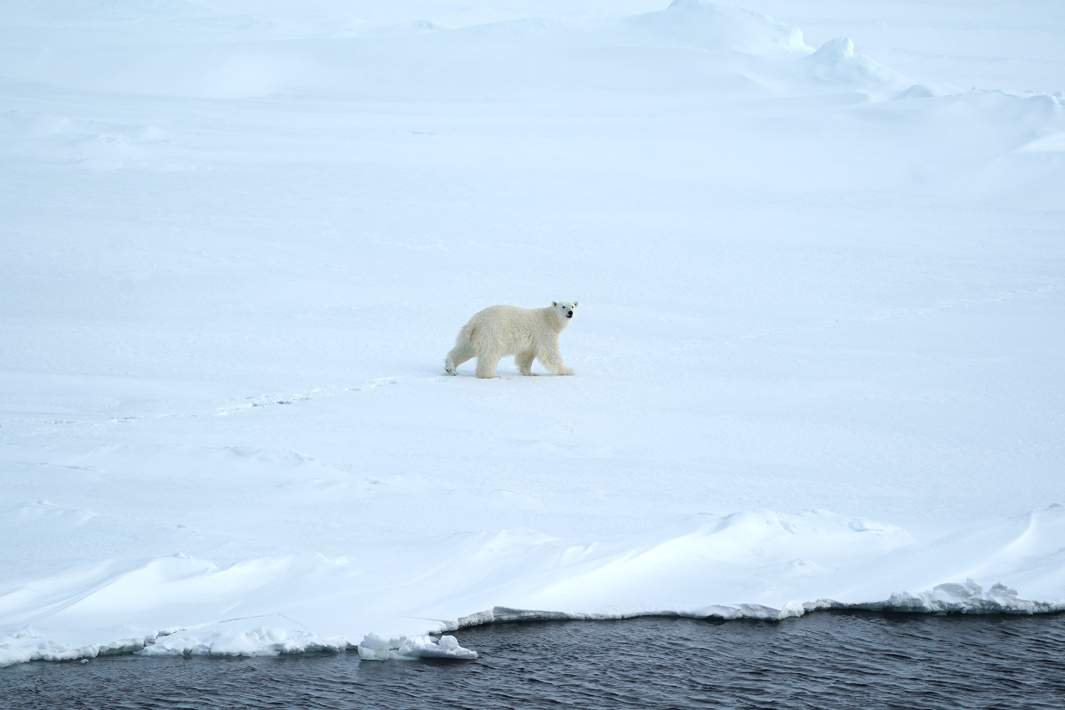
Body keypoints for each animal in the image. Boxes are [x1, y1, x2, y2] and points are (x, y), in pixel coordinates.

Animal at [445, 300, 579, 376]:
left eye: (573, 306)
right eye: (563, 306)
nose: (570, 312)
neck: (550, 319)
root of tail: (475, 321)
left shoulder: (532, 340)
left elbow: (526, 356)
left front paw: (530, 373)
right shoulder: (544, 332)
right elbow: (550, 353)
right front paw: (568, 370)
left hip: (473, 336)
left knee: (464, 350)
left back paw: (450, 368)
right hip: (492, 333)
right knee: (490, 355)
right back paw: (489, 374)